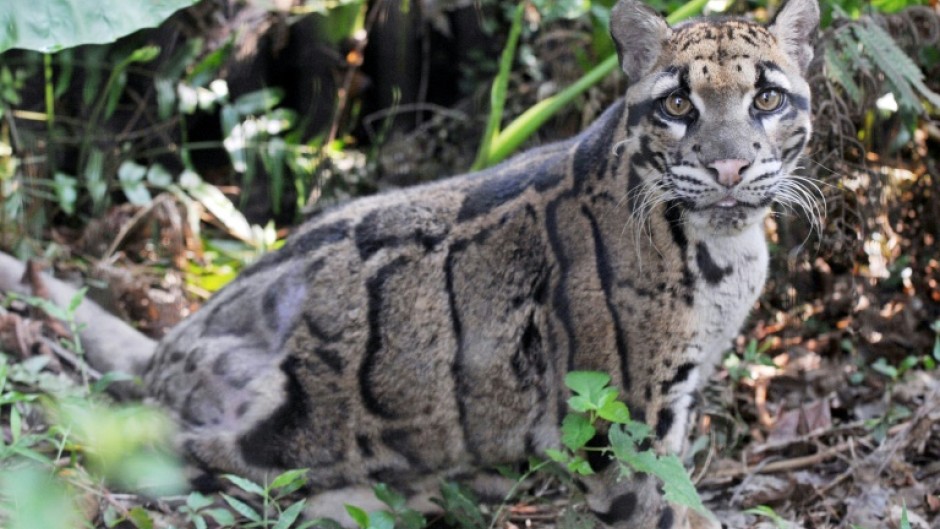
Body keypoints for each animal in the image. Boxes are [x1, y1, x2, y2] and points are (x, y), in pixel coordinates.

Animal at [0, 0, 820, 527]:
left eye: (768, 99)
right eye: (679, 106)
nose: (728, 166)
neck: (725, 245)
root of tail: (172, 342)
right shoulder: (623, 423)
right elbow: (661, 504)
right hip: (270, 421)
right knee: (171, 451)